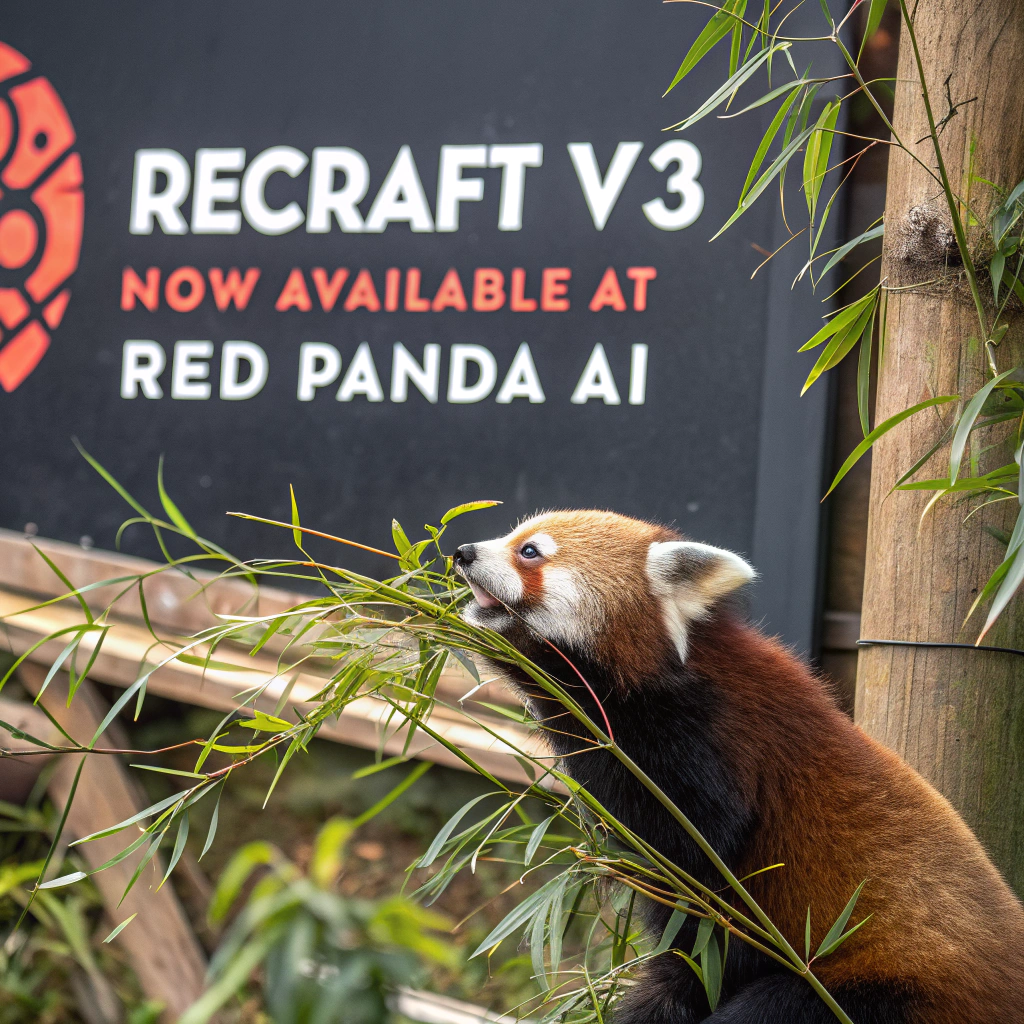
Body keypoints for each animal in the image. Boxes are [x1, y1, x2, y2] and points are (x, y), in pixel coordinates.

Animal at [453, 509, 1024, 1023]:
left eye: (530, 551)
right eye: (512, 535)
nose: (462, 551)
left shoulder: (711, 745)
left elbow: (693, 839)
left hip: (881, 989)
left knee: (778, 1007)